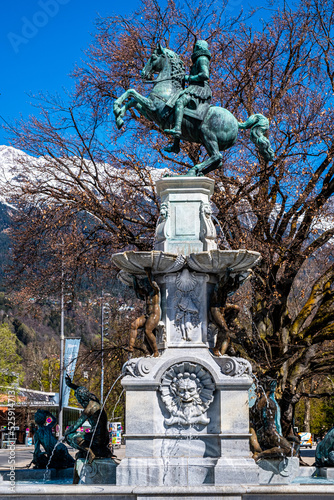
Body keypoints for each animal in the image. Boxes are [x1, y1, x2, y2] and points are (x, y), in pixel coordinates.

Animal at [113, 46, 274, 176]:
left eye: (153, 58)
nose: (143, 73)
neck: (168, 86)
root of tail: (237, 122)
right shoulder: (150, 112)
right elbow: (132, 101)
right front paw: (119, 117)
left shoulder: (153, 107)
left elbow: (131, 92)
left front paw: (116, 109)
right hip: (206, 140)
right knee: (218, 162)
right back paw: (194, 171)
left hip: (208, 136)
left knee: (217, 156)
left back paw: (193, 170)